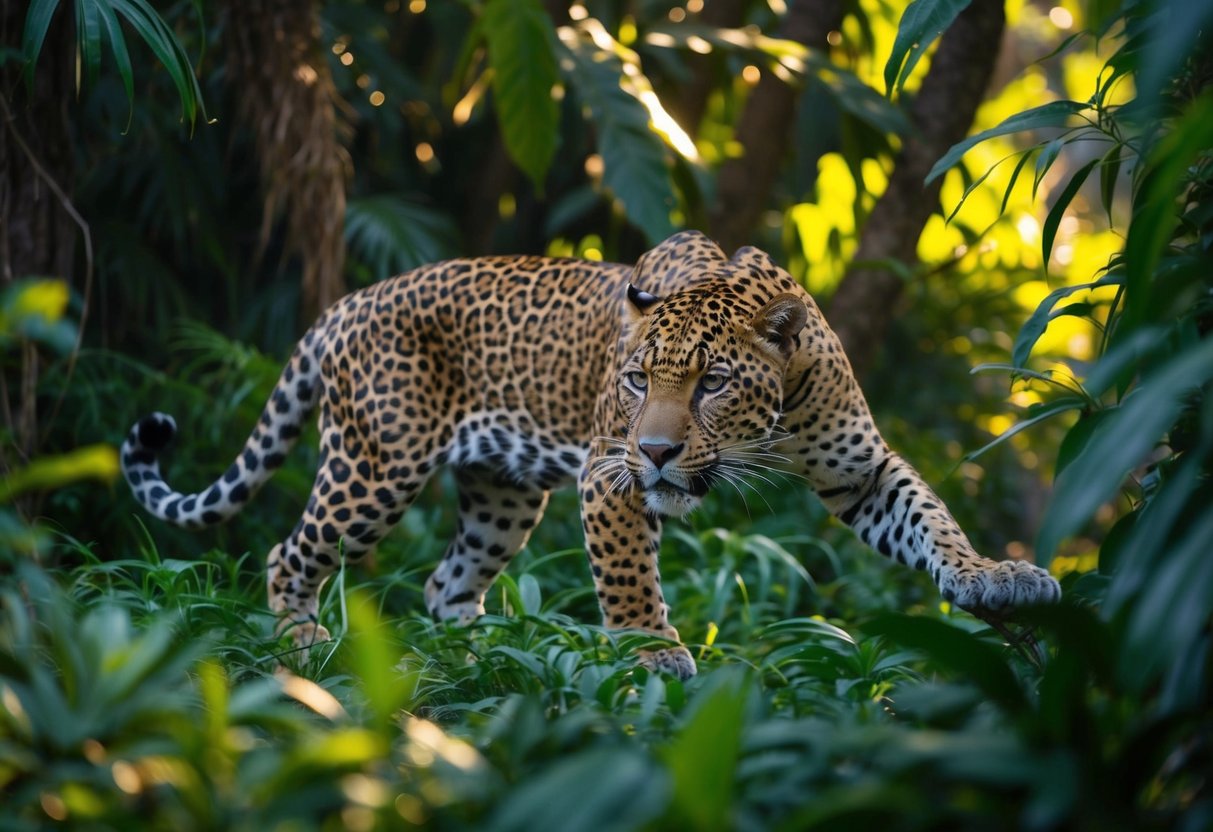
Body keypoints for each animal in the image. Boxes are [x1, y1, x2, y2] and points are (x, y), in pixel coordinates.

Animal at [121, 231, 1060, 679]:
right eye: (639, 379)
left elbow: (929, 518)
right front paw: (649, 651)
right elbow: (628, 578)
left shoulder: (858, 471)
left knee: (446, 583)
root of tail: (346, 303)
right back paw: (305, 644)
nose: (658, 449)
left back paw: (493, 654)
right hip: (376, 464)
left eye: (714, 383)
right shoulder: (607, 476)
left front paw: (990, 577)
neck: (769, 417)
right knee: (290, 551)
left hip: (502, 492)